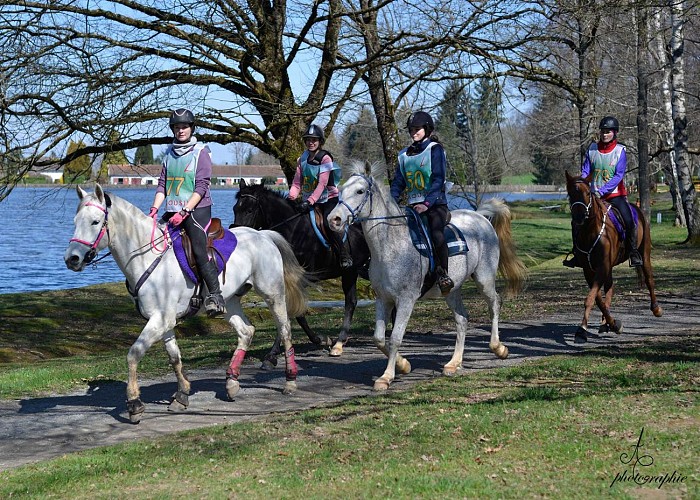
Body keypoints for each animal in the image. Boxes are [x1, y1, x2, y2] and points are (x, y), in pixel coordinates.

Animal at [64, 186, 308, 424]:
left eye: (95, 222)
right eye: (75, 221)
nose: (71, 259)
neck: (147, 256)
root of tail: (262, 234)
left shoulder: (161, 319)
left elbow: (134, 354)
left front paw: (134, 404)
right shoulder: (162, 321)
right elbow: (174, 357)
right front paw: (182, 394)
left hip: (272, 293)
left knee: (285, 329)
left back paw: (290, 381)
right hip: (229, 302)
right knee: (246, 331)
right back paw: (231, 382)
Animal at [328, 163, 524, 390]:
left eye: (360, 191)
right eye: (341, 191)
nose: (334, 220)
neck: (390, 246)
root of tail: (480, 216)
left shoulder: (406, 300)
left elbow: (395, 338)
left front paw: (386, 377)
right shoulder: (383, 299)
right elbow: (379, 338)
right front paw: (403, 365)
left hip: (484, 279)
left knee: (494, 304)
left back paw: (498, 348)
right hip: (451, 290)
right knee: (462, 319)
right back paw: (453, 364)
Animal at [564, 170, 660, 342]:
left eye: (588, 193)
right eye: (570, 194)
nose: (579, 217)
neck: (590, 231)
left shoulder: (603, 266)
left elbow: (590, 298)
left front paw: (582, 329)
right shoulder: (589, 270)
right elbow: (597, 299)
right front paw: (610, 323)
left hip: (644, 254)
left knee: (649, 278)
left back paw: (656, 309)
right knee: (610, 288)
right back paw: (605, 323)